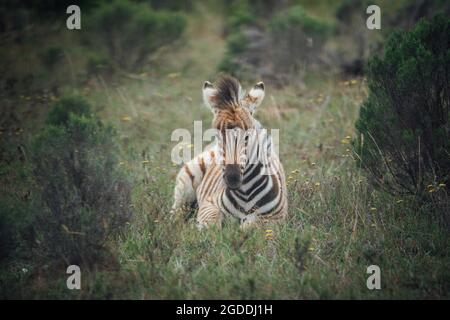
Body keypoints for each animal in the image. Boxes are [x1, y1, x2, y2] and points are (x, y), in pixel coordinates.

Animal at [171, 75, 286, 229]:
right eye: (218, 135)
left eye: (247, 136)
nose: (232, 178)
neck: (245, 194)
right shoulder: (208, 205)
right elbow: (212, 226)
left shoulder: (275, 218)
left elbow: (248, 228)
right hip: (187, 184)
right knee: (176, 212)